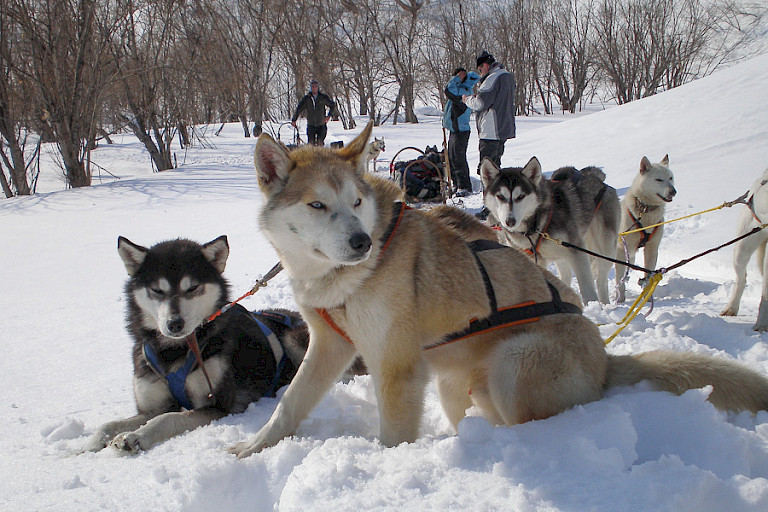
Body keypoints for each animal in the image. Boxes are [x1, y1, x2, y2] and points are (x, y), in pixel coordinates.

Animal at [82, 235, 314, 452]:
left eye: (193, 287)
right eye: (157, 290)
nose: (174, 323)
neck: (174, 351)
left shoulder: (216, 406)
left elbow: (167, 418)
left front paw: (135, 436)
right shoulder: (151, 405)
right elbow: (109, 425)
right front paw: (85, 446)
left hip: (291, 339)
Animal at [484, 156, 620, 304]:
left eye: (520, 196)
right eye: (500, 196)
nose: (510, 221)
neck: (534, 225)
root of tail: (598, 178)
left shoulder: (577, 252)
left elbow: (587, 289)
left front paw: (591, 305)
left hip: (606, 249)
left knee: (600, 281)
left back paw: (604, 303)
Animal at [616, 154, 676, 302]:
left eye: (670, 178)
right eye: (659, 179)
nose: (673, 191)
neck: (645, 209)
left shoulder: (652, 248)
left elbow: (647, 274)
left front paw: (646, 297)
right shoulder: (621, 249)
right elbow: (619, 278)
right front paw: (620, 300)